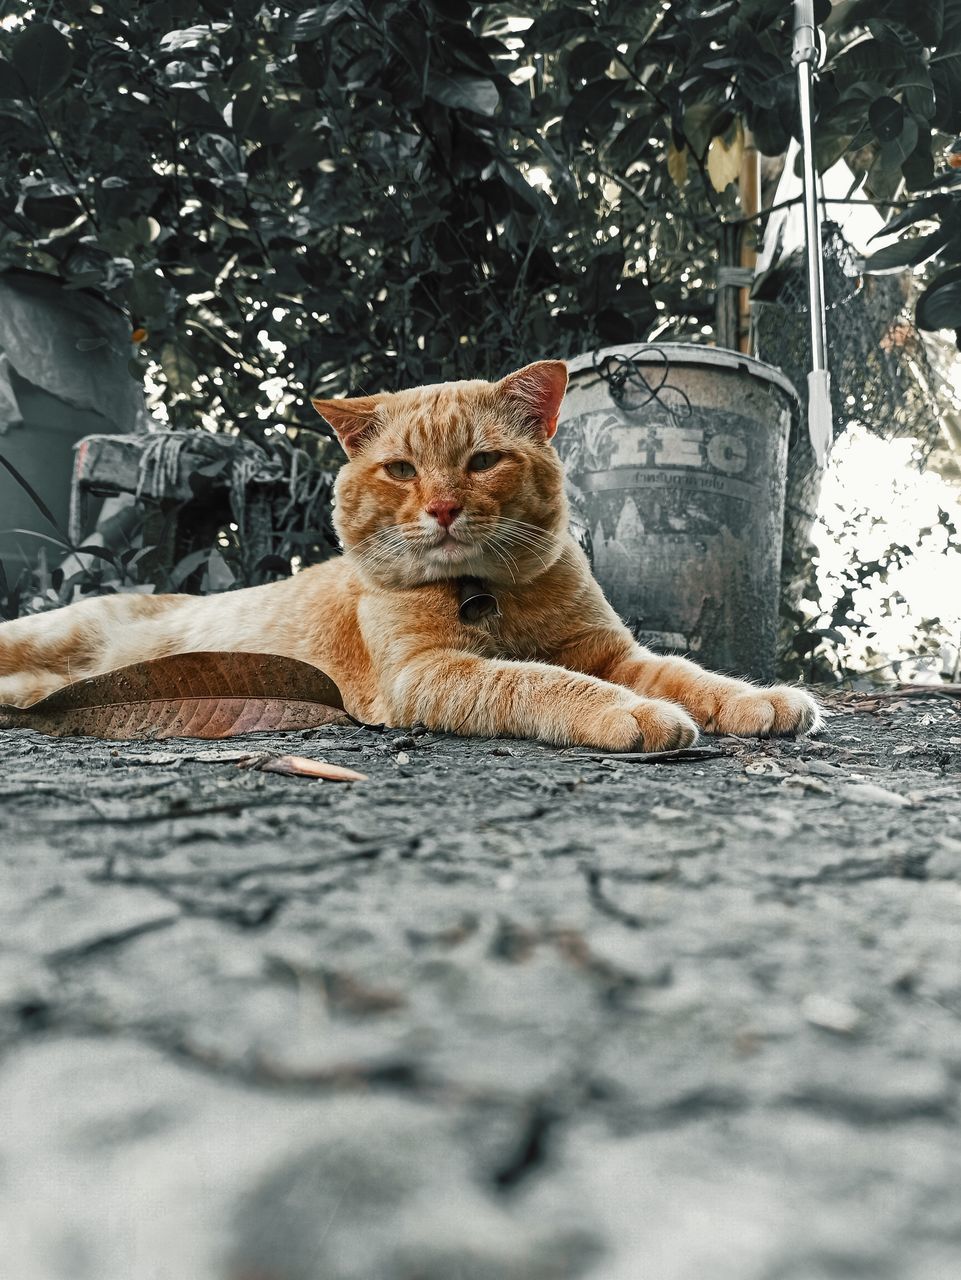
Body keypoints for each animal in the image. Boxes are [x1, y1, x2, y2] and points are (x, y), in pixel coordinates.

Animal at [0, 360, 818, 747]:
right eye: (400, 469)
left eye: (482, 461)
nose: (444, 507)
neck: (488, 592)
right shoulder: (427, 673)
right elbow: (540, 682)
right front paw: (632, 713)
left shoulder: (608, 651)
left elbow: (686, 674)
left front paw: (756, 699)